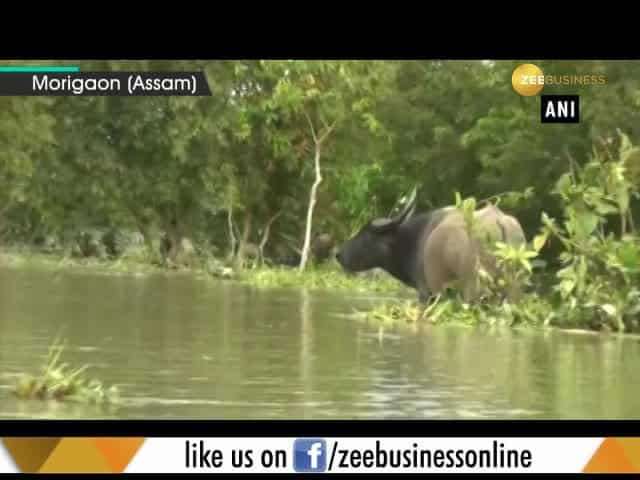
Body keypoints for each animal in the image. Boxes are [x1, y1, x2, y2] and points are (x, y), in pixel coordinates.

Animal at [336, 189, 524, 302]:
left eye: (366, 233)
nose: (339, 254)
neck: (413, 240)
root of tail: (499, 220)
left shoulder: (426, 293)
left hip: (474, 289)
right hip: (513, 291)